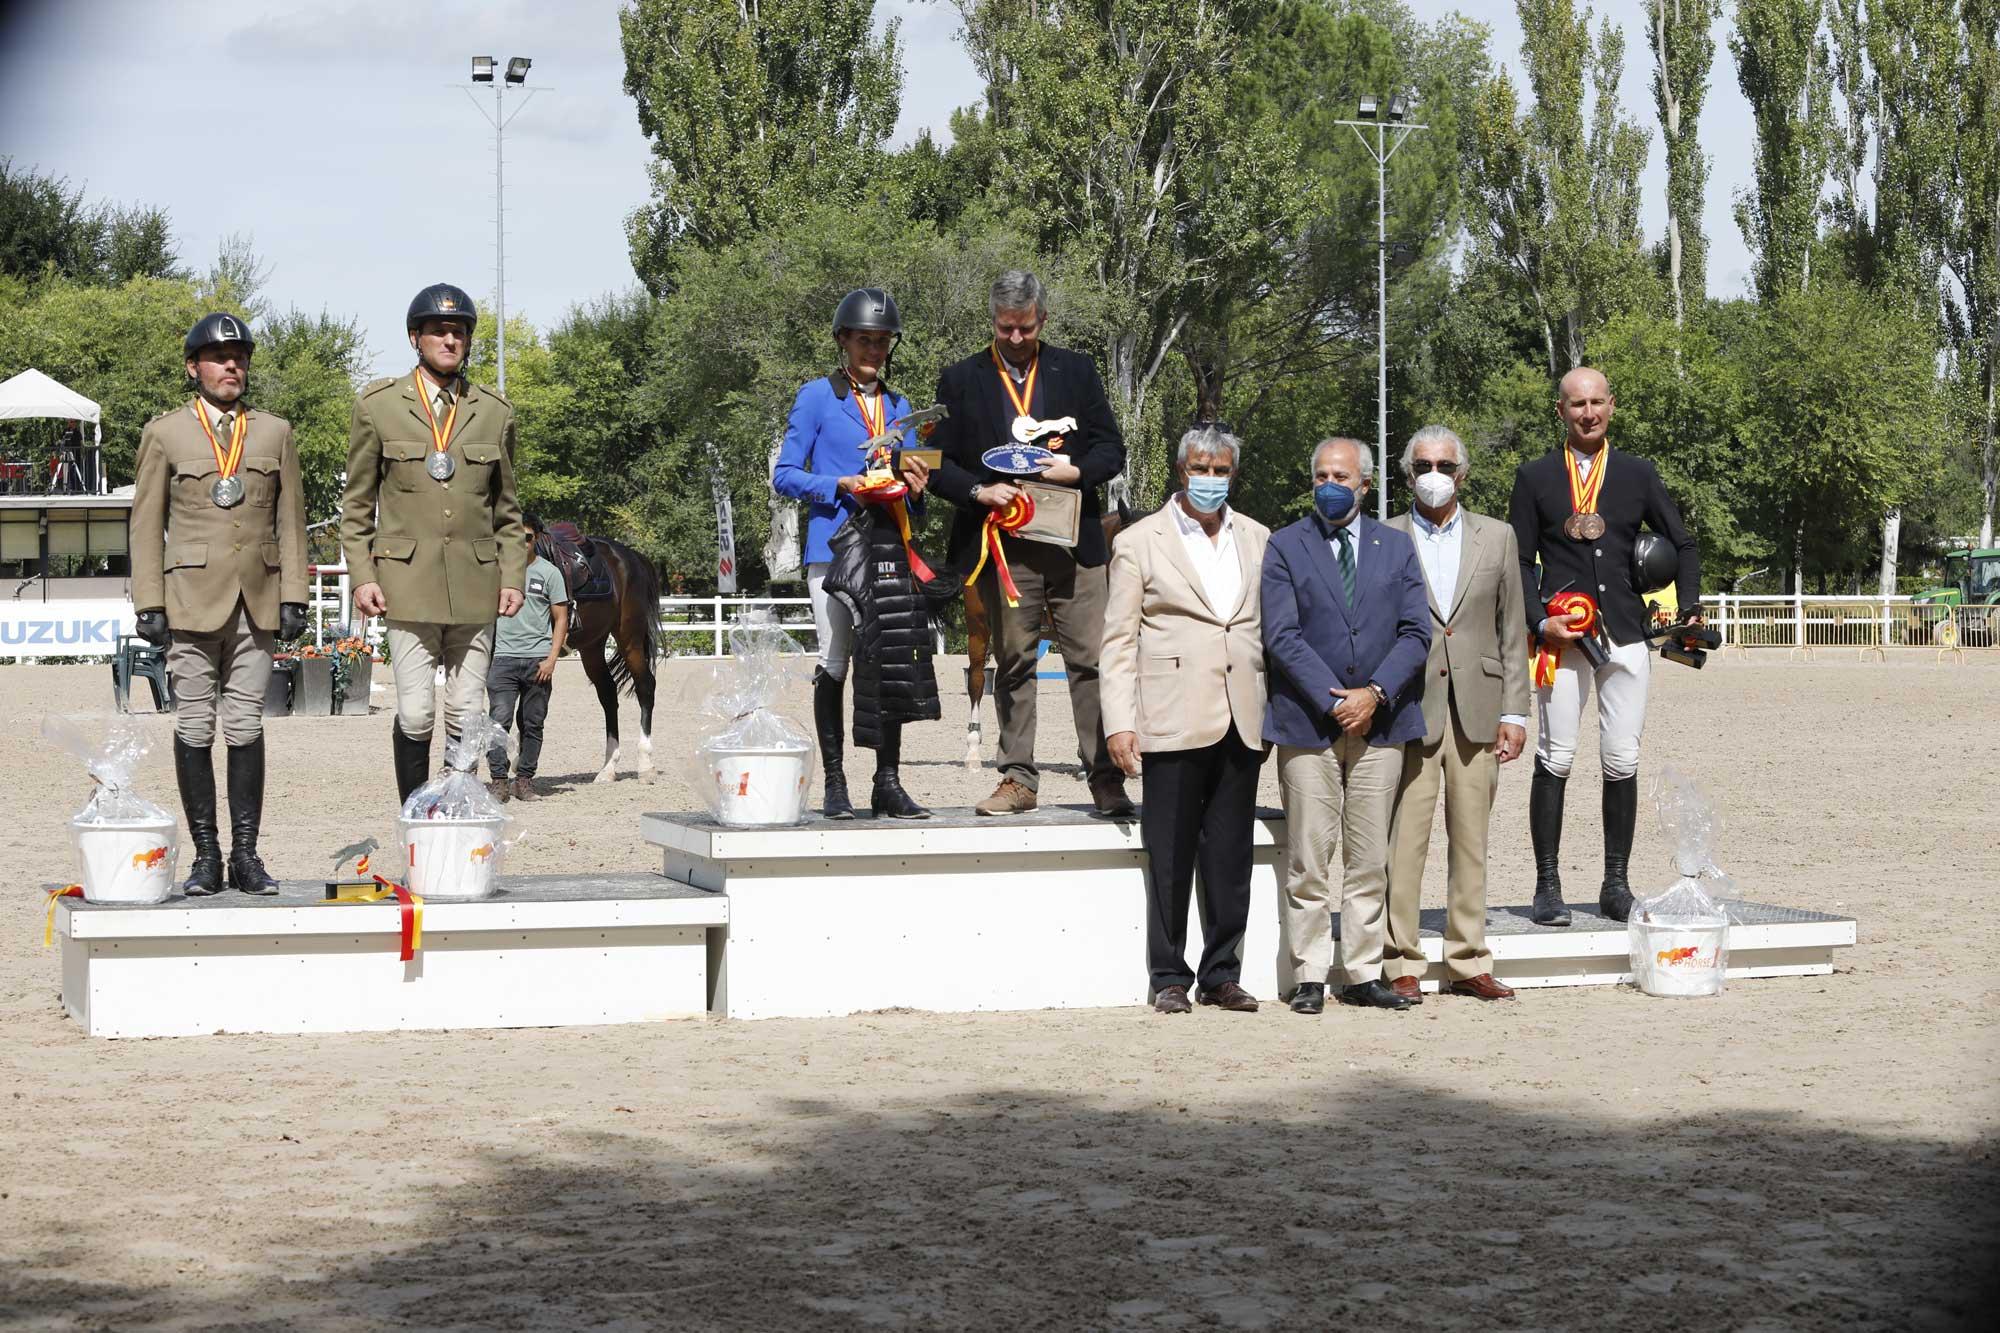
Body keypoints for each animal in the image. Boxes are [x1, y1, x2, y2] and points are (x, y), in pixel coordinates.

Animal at [540, 528, 664, 780]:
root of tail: (633, 556)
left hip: (629, 638)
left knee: (645, 685)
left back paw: (645, 765)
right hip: (592, 645)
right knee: (607, 692)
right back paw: (608, 767)